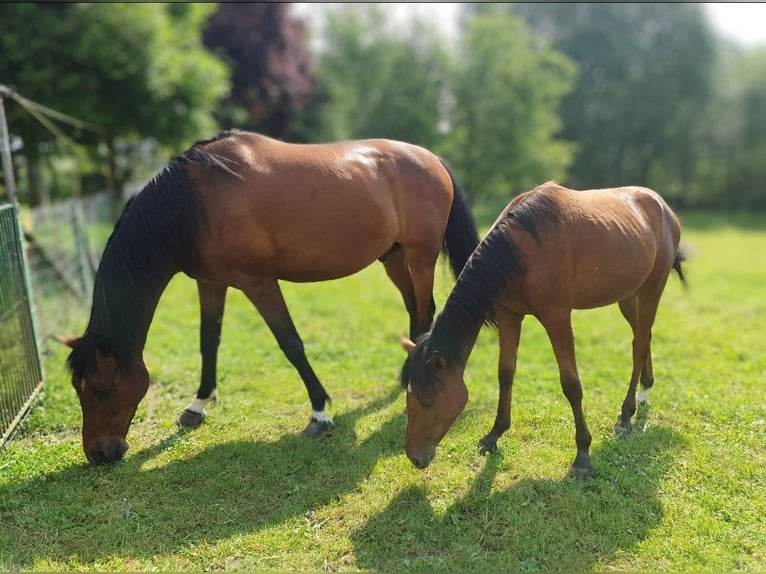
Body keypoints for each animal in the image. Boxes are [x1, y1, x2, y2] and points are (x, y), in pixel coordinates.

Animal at [63, 129, 480, 464]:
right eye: (77, 389)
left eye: (102, 388)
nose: (99, 454)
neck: (193, 204)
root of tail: (431, 159)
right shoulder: (210, 283)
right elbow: (208, 341)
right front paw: (197, 406)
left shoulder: (259, 283)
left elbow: (290, 343)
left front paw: (319, 415)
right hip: (393, 257)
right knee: (413, 309)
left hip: (421, 256)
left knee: (425, 312)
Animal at [400, 182, 688, 480]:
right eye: (408, 396)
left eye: (428, 399)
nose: (415, 457)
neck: (518, 249)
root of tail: (663, 206)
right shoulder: (508, 314)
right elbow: (505, 373)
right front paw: (494, 435)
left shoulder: (557, 317)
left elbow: (571, 384)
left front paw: (582, 456)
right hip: (628, 296)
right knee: (643, 337)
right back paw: (645, 388)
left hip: (652, 290)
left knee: (639, 344)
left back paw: (626, 413)